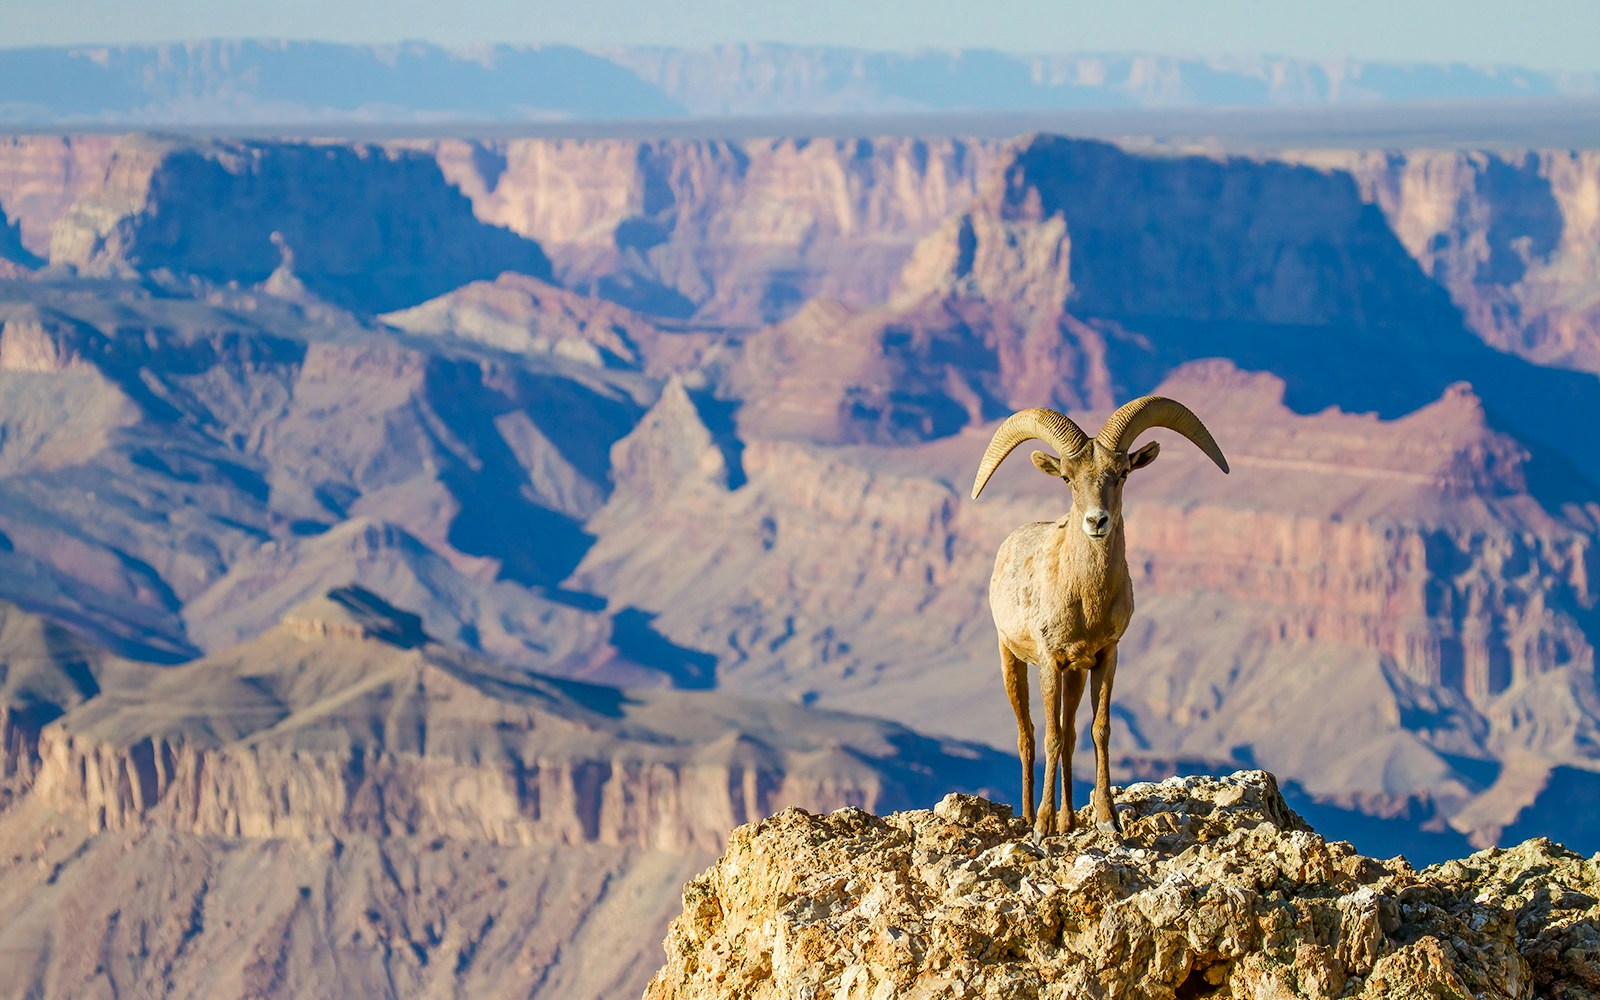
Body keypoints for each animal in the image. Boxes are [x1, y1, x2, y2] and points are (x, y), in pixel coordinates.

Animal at [970, 396, 1229, 838]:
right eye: (1067, 478)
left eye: (1122, 473)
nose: (1096, 521)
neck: (1085, 601)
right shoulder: (1050, 661)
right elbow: (1051, 737)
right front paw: (1042, 828)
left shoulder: (1105, 656)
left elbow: (1098, 731)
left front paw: (1107, 819)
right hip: (1012, 660)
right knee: (1028, 736)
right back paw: (1029, 818)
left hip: (1075, 674)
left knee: (1072, 733)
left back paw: (1069, 818)